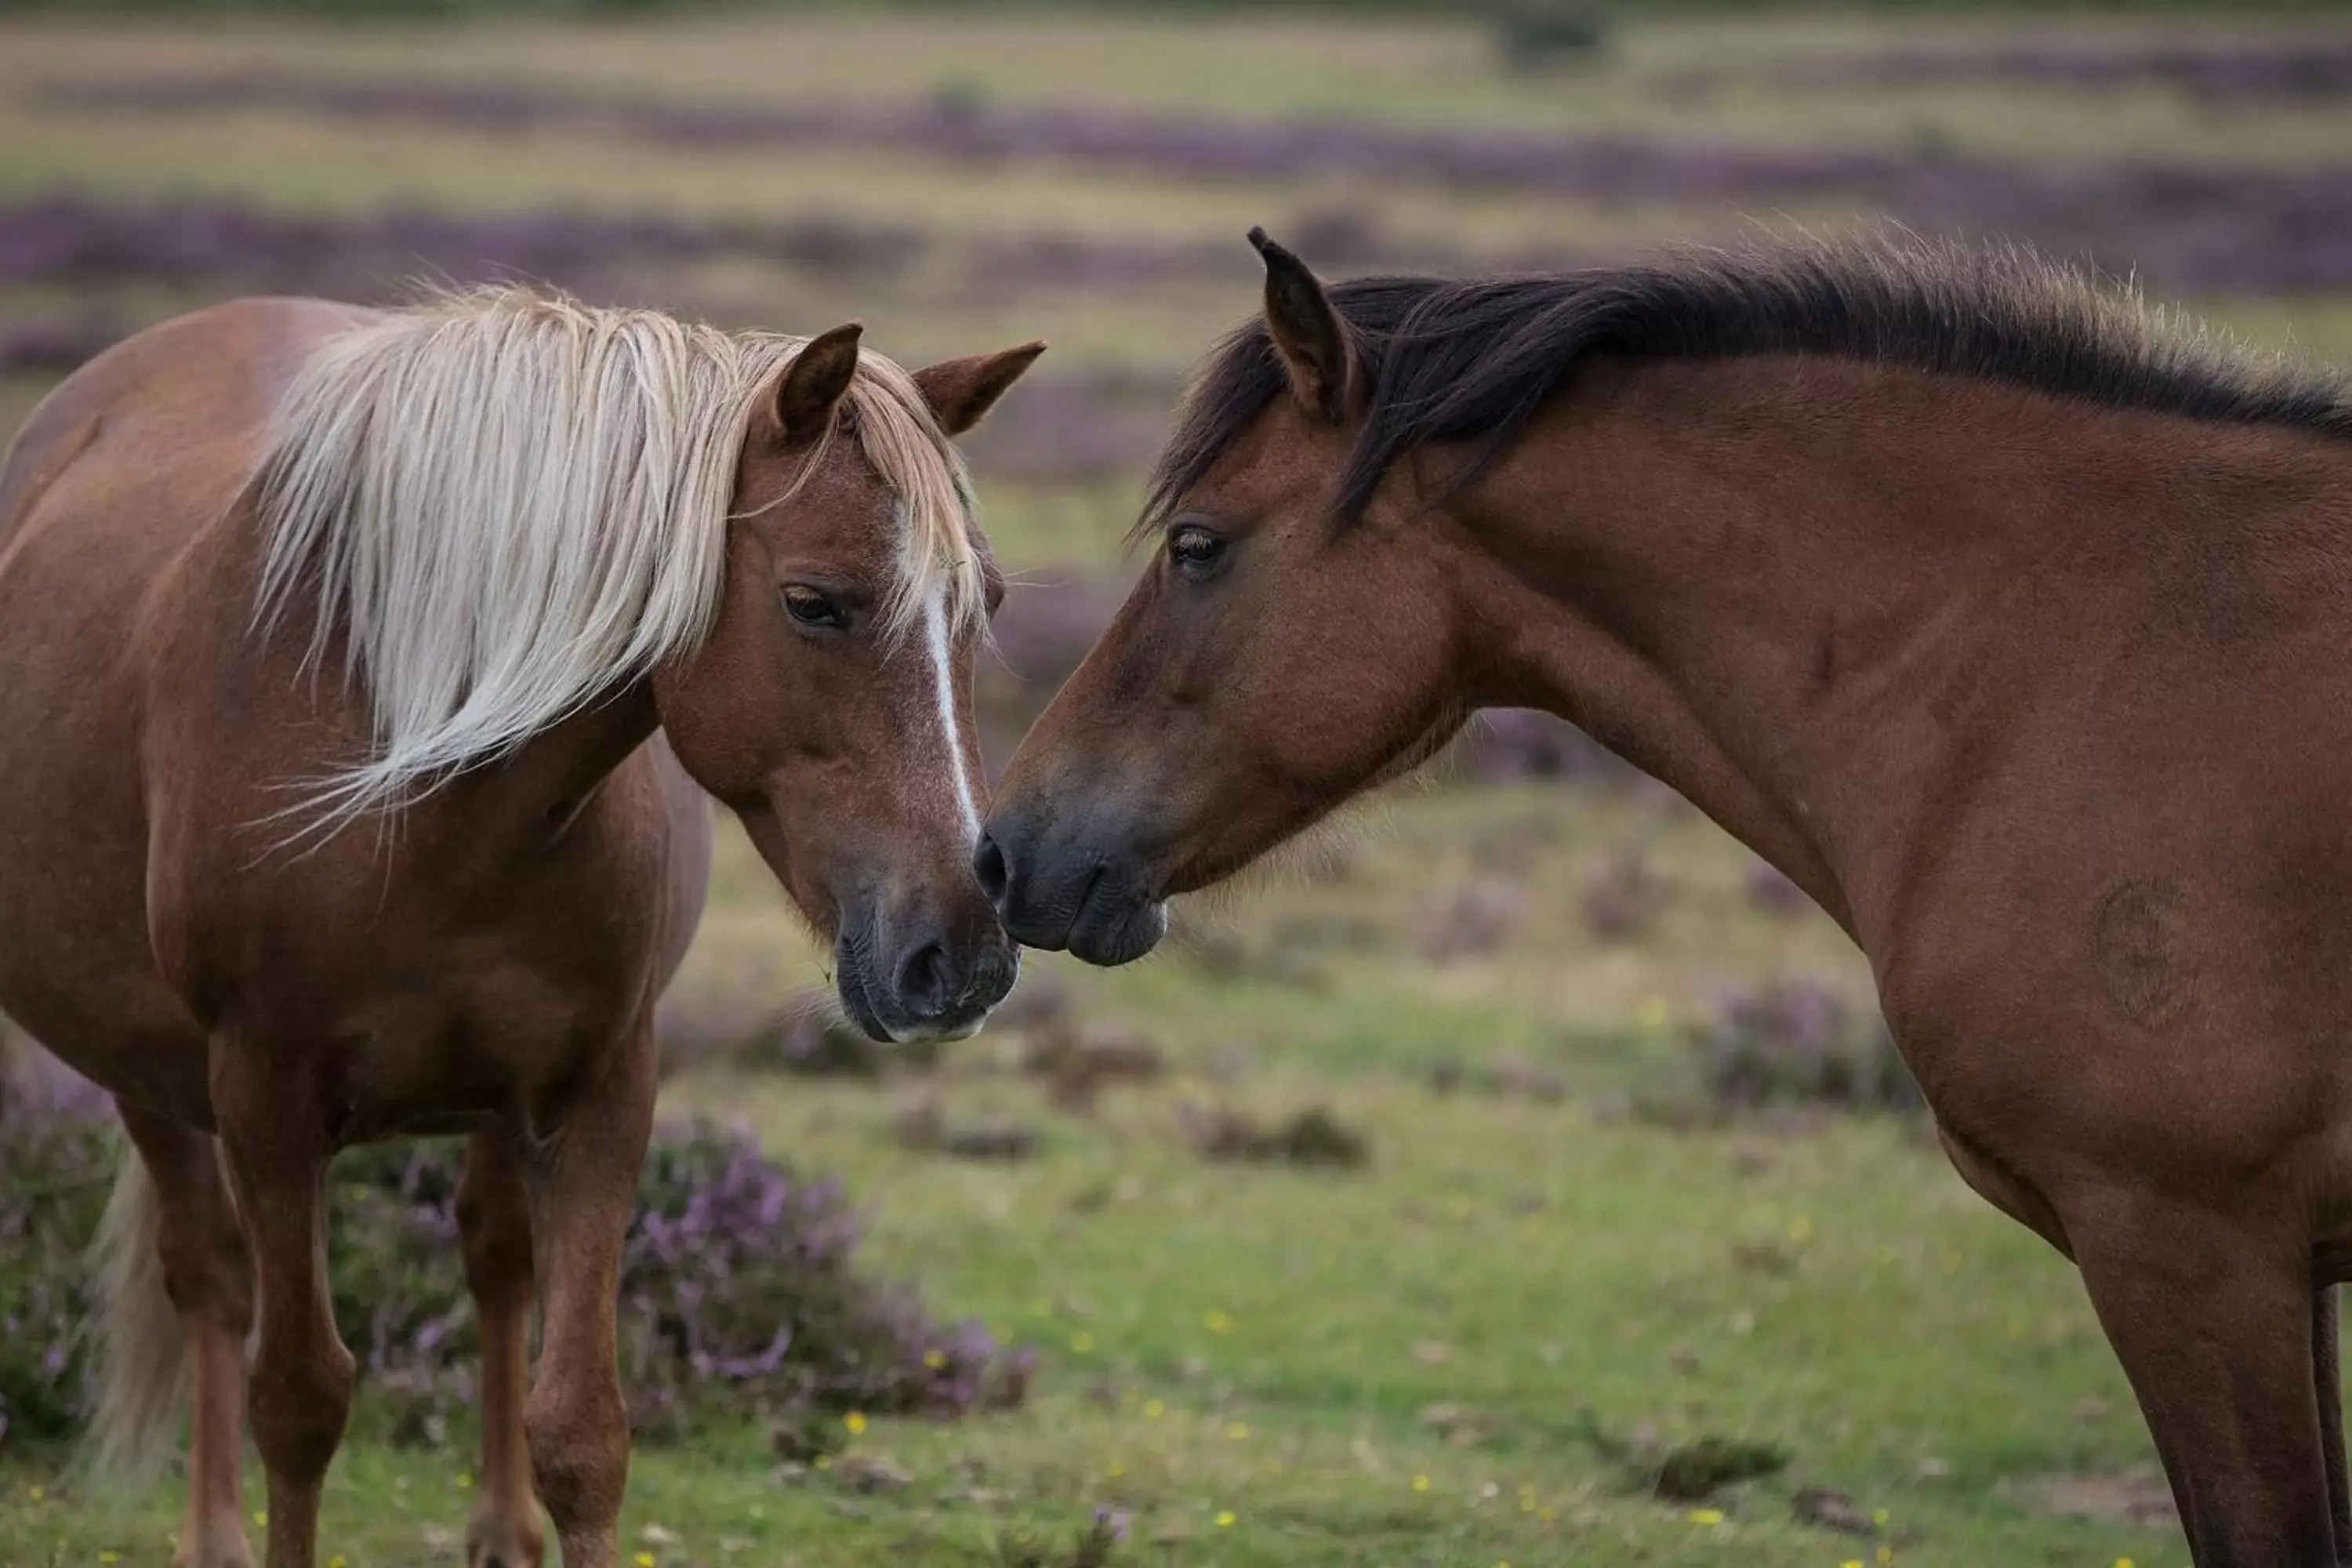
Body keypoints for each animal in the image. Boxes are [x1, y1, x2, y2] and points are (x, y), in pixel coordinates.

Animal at [0, 285, 1040, 1568]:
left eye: (984, 605)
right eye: (814, 602)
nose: (966, 952)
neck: (428, 788)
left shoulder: (600, 1090)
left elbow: (581, 1429)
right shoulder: (265, 1100)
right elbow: (295, 1400)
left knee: (493, 1258)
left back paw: (497, 1528)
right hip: (148, 1071)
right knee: (208, 1277)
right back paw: (213, 1534)